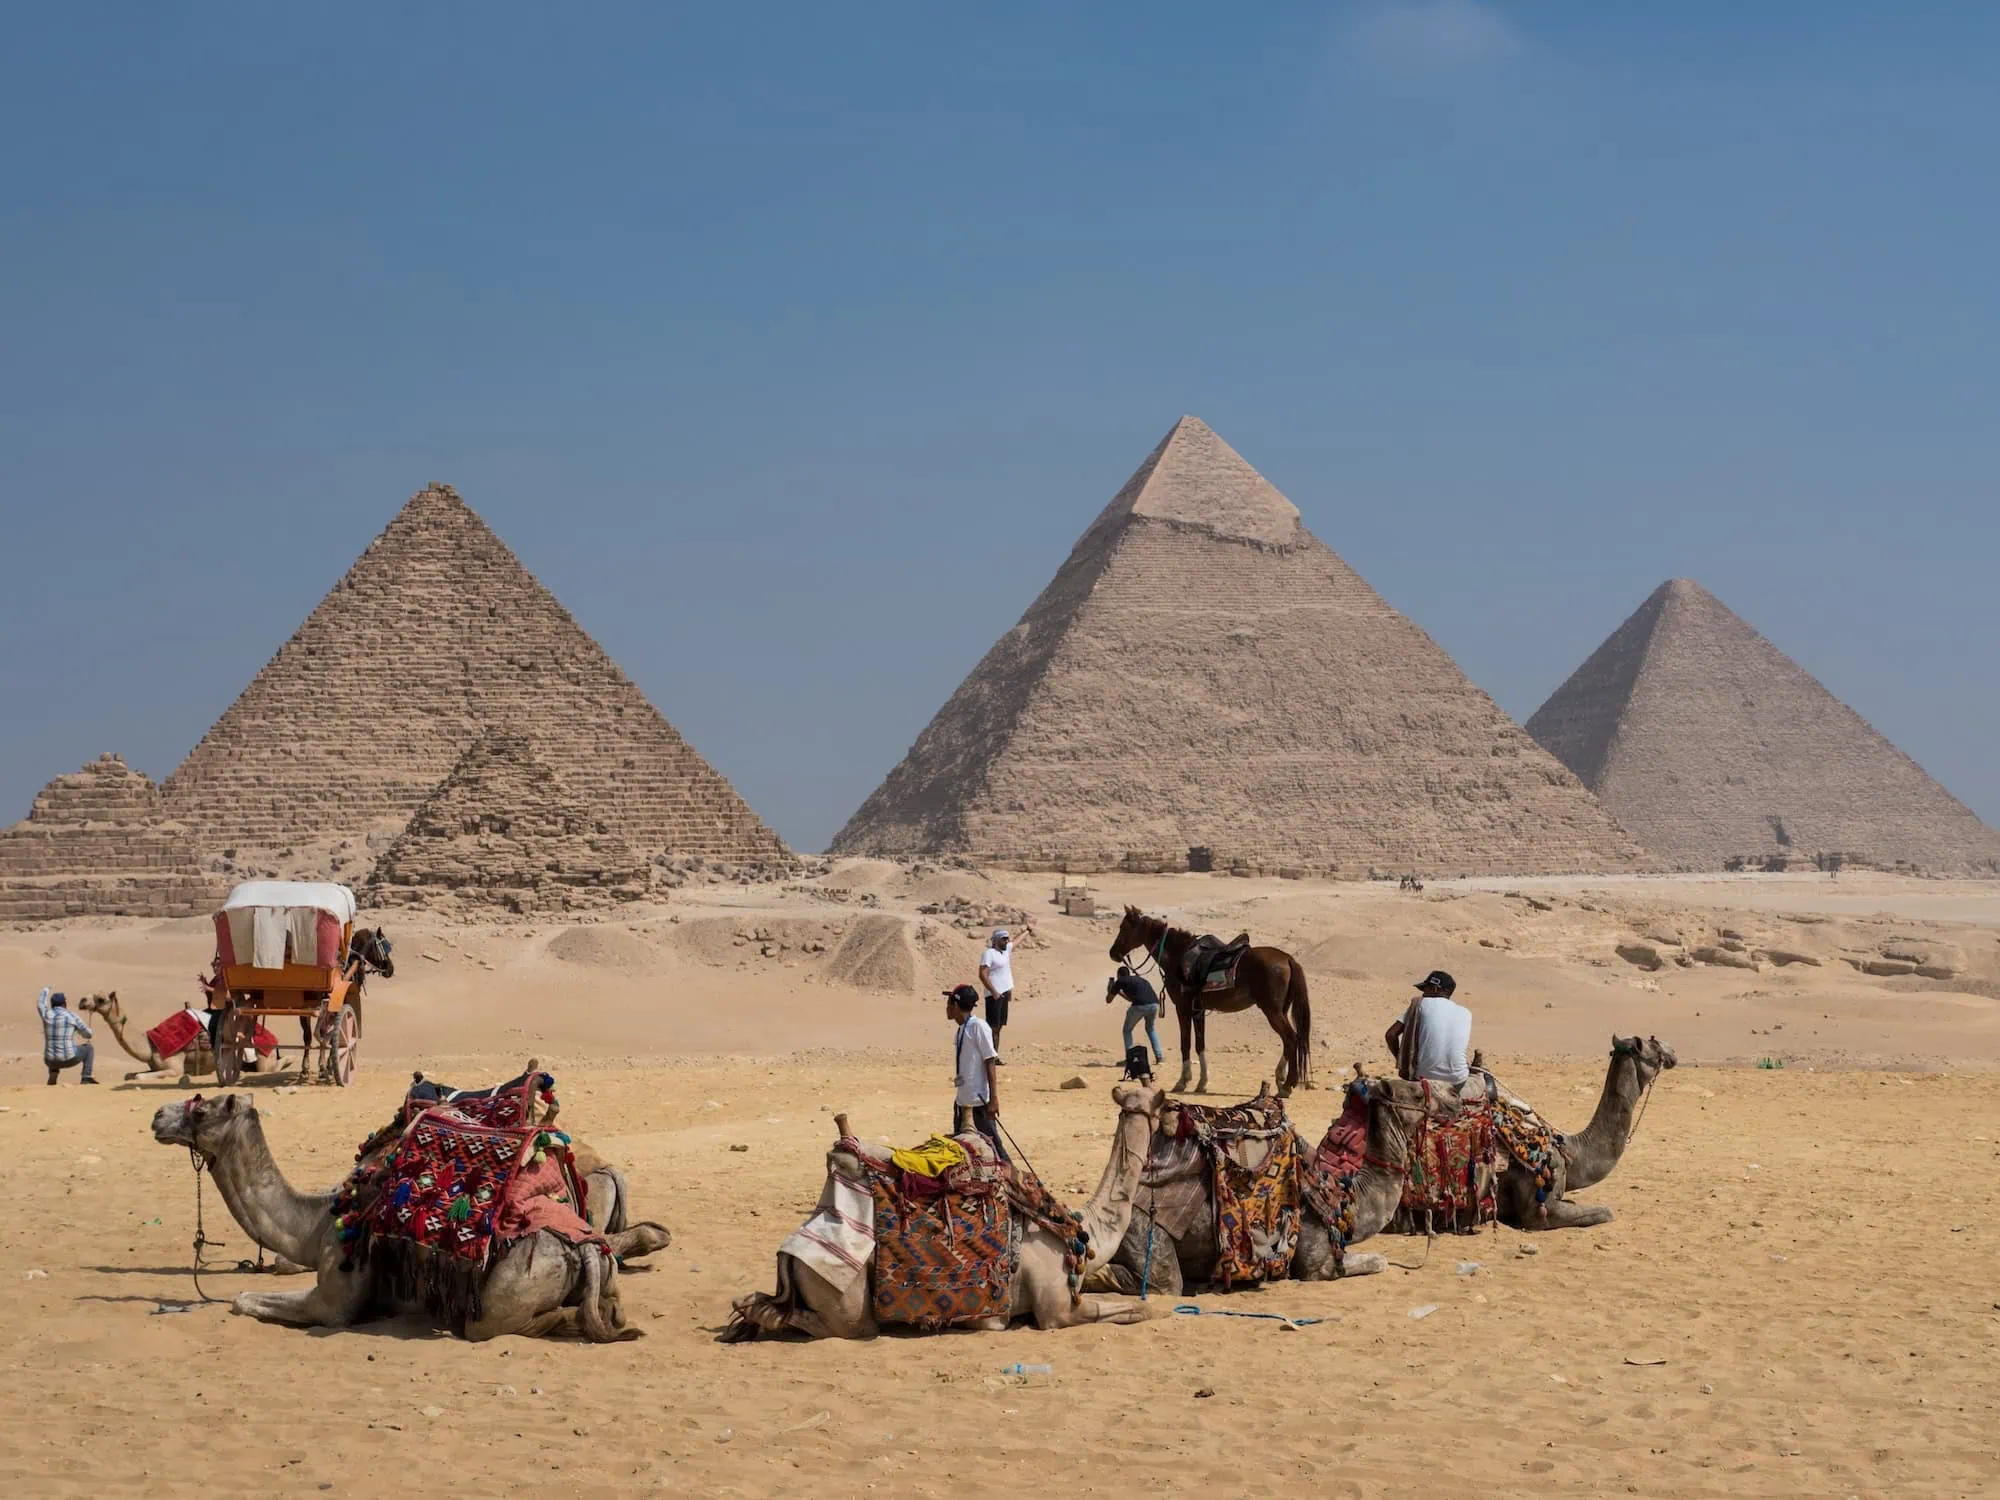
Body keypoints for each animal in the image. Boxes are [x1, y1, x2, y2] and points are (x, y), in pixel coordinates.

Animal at [150, 1093, 656, 1340]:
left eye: (203, 1108)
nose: (157, 1116)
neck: (320, 1222)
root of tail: (584, 1247)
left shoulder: (333, 1301)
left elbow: (242, 1299)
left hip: (505, 1296)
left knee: (492, 1326)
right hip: (599, 1274)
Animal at [726, 1083, 1168, 1339]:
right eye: (1161, 1106)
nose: (1170, 1116)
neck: (1078, 1229)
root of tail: (789, 1252)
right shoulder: (1056, 1310)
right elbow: (1142, 1309)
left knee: (761, 1303)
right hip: (846, 1305)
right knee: (816, 1321)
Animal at [1086, 1077, 1427, 1296]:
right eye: (1416, 1094)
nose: (1443, 1092)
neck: (1344, 1200)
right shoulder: (1317, 1262)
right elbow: (1378, 1261)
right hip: (1145, 1232)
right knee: (1160, 1282)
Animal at [1108, 906, 1313, 1097]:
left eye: (1124, 927)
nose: (1113, 953)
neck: (1177, 956)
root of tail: (1288, 959)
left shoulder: (1183, 1008)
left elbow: (1185, 1043)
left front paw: (1182, 1082)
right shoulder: (1198, 1010)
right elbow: (1200, 1045)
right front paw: (1202, 1083)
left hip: (1272, 1010)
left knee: (1291, 1038)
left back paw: (1287, 1085)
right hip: (1281, 1010)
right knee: (1289, 1041)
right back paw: (1280, 1078)